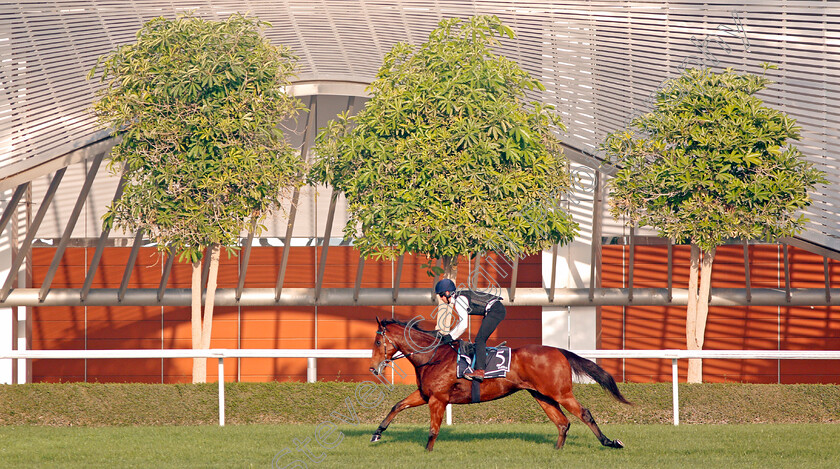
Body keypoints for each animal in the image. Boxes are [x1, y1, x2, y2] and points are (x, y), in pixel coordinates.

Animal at [368, 316, 632, 452]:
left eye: (378, 341)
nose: (373, 368)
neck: (433, 356)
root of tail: (559, 350)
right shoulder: (425, 394)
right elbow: (397, 406)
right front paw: (376, 434)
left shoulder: (438, 398)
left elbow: (433, 429)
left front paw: (427, 452)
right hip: (542, 396)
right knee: (562, 422)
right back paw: (556, 452)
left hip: (561, 393)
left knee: (584, 414)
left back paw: (610, 442)